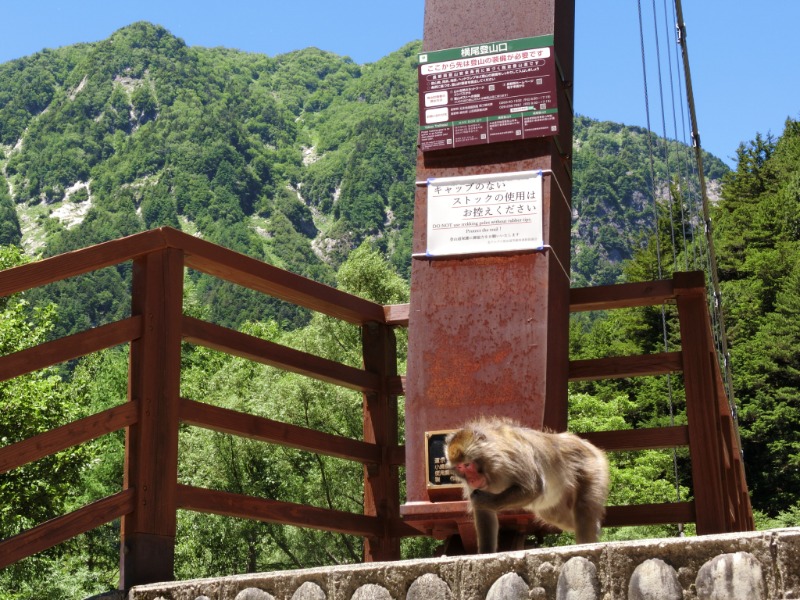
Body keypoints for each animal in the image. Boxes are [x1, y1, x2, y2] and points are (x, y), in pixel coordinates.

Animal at [446, 418, 608, 552]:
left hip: (590, 468)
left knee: (584, 508)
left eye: (467, 465)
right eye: (460, 467)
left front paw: (484, 500)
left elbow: (533, 487)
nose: (471, 479)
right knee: (560, 518)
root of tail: (587, 444)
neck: (490, 467)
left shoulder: (511, 456)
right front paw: (486, 552)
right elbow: (484, 513)